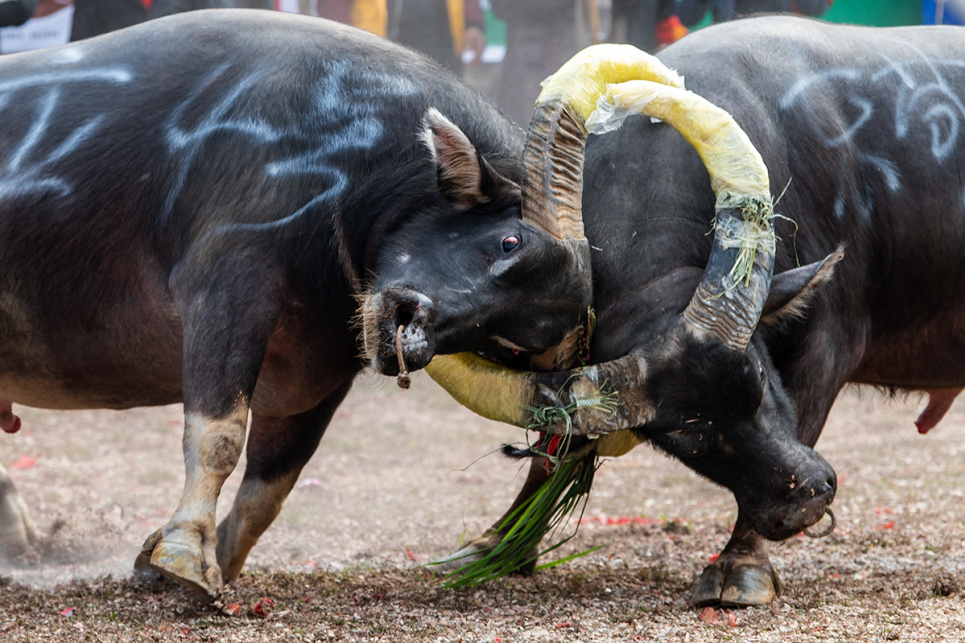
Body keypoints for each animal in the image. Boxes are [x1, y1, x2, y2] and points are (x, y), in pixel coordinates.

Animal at [0, 11, 592, 600]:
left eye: (508, 339)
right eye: (509, 242)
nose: (416, 337)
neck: (357, 169)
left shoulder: (322, 370)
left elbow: (272, 485)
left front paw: (207, 558)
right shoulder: (230, 285)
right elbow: (219, 434)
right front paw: (186, 552)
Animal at [434, 15, 964, 608]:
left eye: (758, 378)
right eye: (683, 436)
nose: (806, 497)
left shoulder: (831, 342)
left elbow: (805, 414)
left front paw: (741, 564)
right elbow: (551, 456)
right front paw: (498, 544)